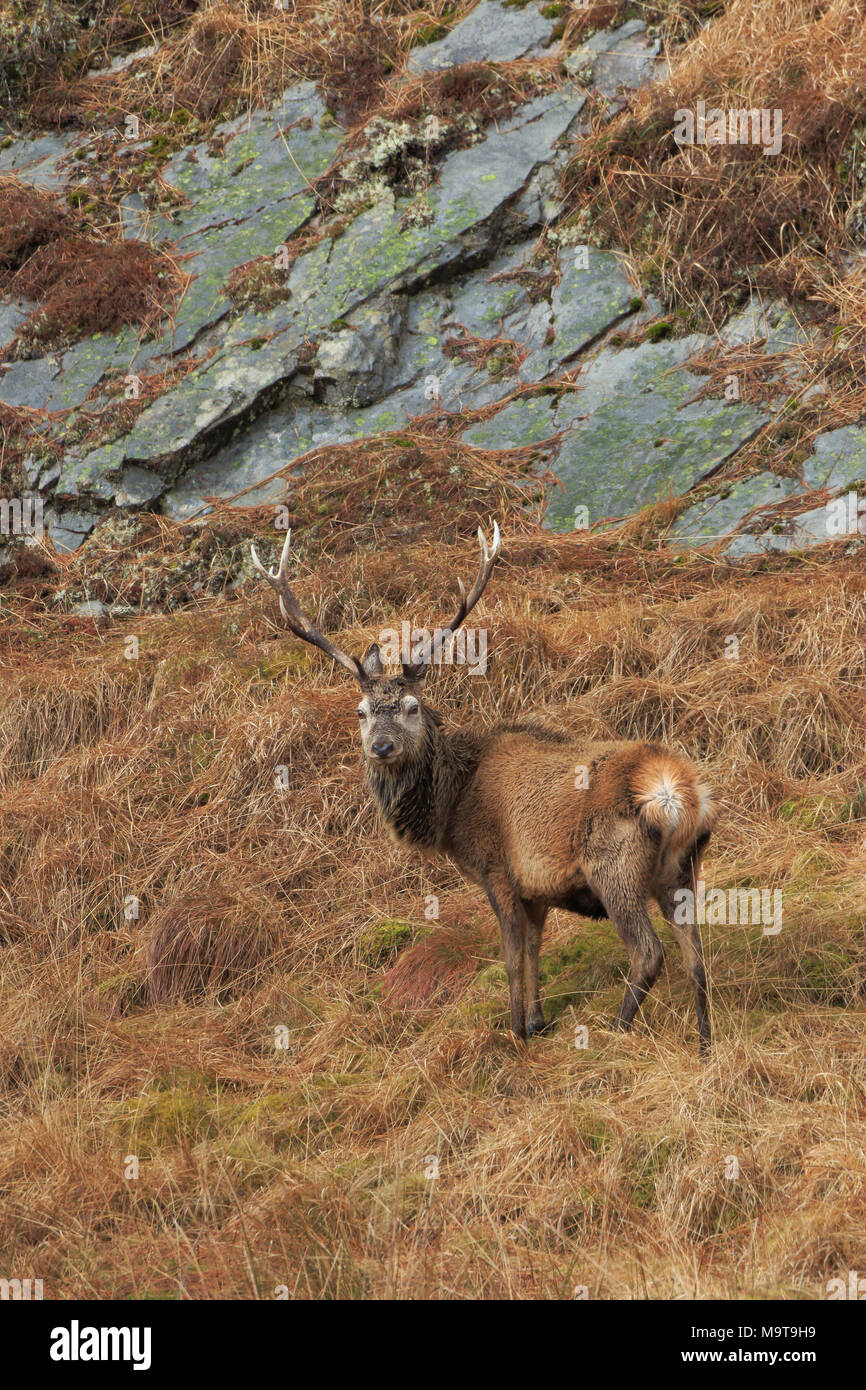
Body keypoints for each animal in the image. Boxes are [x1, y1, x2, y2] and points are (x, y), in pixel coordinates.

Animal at [251, 524, 717, 1054]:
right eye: (361, 711)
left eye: (412, 706)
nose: (382, 747)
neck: (451, 808)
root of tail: (683, 797)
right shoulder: (536, 890)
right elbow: (534, 951)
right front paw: (536, 1022)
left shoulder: (498, 870)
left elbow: (511, 958)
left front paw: (515, 1033)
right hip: (681, 868)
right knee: (697, 954)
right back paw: (704, 1041)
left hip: (614, 867)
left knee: (649, 952)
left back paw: (615, 1031)